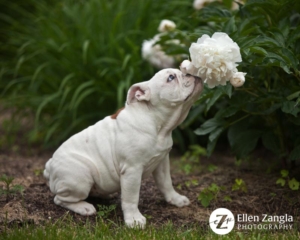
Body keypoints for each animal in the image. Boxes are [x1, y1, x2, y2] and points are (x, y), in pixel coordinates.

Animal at [44, 68, 202, 228]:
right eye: (171, 77)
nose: (190, 72)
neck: (159, 125)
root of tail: (50, 165)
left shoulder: (162, 162)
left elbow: (166, 183)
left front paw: (176, 199)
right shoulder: (132, 169)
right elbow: (131, 197)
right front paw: (134, 219)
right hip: (80, 176)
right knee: (60, 199)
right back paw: (84, 207)